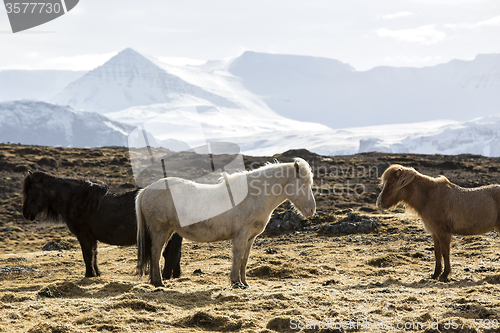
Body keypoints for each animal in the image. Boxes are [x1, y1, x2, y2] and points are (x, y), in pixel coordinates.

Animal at [23, 171, 184, 278]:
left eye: (31, 190)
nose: (25, 213)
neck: (77, 200)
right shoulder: (91, 237)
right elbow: (94, 254)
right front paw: (96, 273)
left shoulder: (84, 236)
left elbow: (87, 255)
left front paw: (89, 274)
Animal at [136, 157, 316, 286]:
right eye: (303, 185)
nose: (311, 210)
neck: (254, 196)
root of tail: (146, 190)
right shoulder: (241, 236)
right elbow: (237, 256)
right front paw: (236, 282)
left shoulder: (250, 238)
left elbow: (244, 259)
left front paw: (244, 282)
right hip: (161, 230)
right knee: (155, 253)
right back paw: (159, 283)